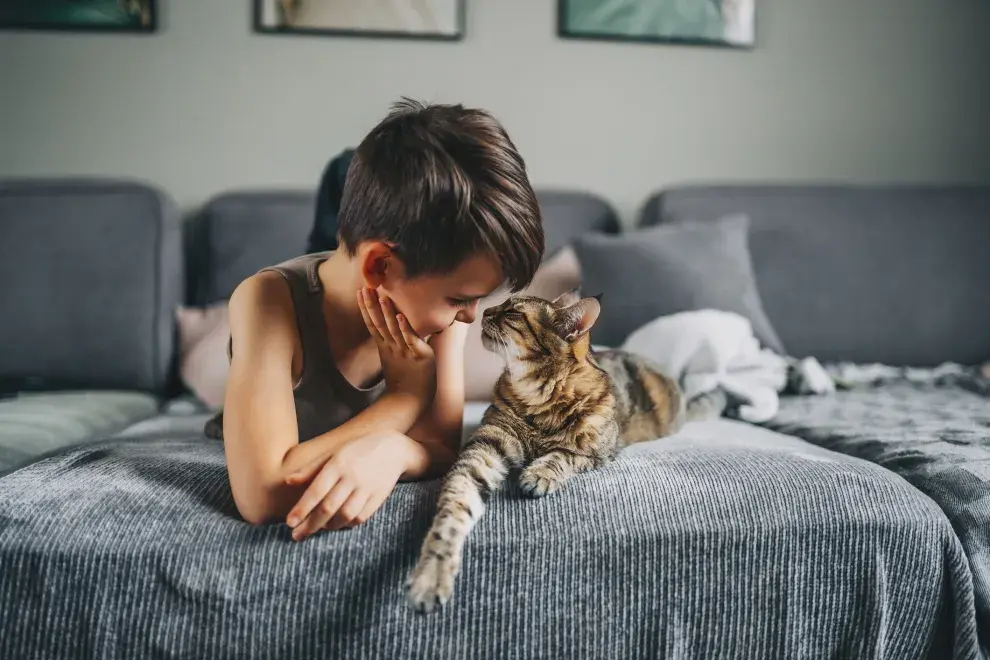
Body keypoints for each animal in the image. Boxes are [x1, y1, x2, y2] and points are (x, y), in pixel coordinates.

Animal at [404, 290, 720, 612]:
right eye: (502, 304)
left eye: (513, 313)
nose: (485, 311)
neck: (537, 396)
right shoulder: (487, 445)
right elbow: (455, 506)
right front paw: (432, 572)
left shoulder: (596, 452)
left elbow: (563, 455)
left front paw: (540, 473)